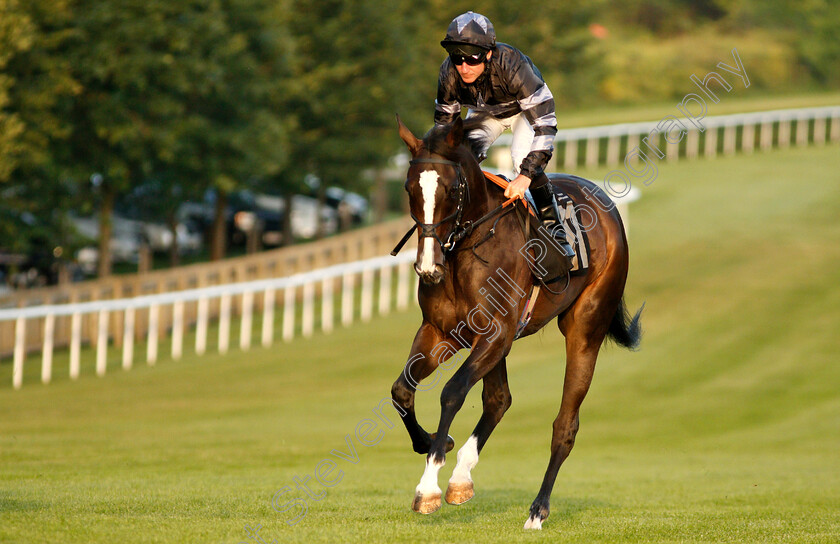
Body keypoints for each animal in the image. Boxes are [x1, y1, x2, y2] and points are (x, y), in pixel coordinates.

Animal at [390, 115, 640, 528]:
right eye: (410, 188)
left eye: (451, 188)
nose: (428, 267)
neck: (468, 248)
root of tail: (606, 206)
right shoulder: (442, 332)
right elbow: (402, 390)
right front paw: (430, 444)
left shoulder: (496, 334)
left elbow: (452, 392)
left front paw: (428, 487)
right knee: (498, 400)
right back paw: (462, 478)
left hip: (584, 328)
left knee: (564, 425)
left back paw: (538, 509)